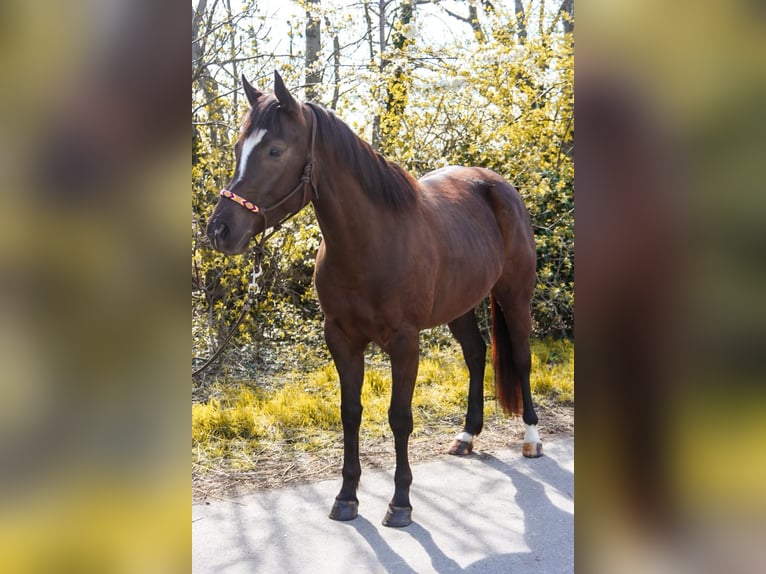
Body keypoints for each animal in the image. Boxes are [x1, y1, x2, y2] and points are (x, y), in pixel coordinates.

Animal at [206, 71, 542, 527]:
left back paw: (531, 438)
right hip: (460, 305)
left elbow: (400, 418)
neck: (371, 242)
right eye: (239, 147)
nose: (220, 230)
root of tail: (499, 185)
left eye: (275, 149)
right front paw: (347, 496)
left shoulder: (404, 342)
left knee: (521, 359)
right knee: (476, 354)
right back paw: (466, 435)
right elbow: (350, 412)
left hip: (514, 294)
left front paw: (400, 502)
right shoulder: (341, 338)